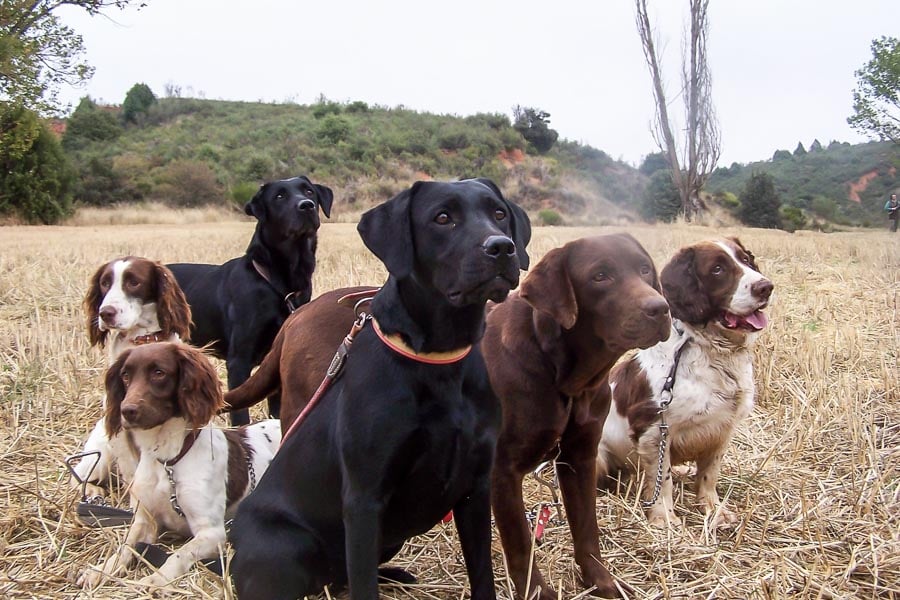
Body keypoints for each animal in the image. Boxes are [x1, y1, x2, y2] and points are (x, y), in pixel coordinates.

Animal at [167, 176, 332, 424]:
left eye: (309, 191)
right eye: (279, 196)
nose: (306, 206)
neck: (278, 284)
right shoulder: (238, 361)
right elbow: (240, 415)